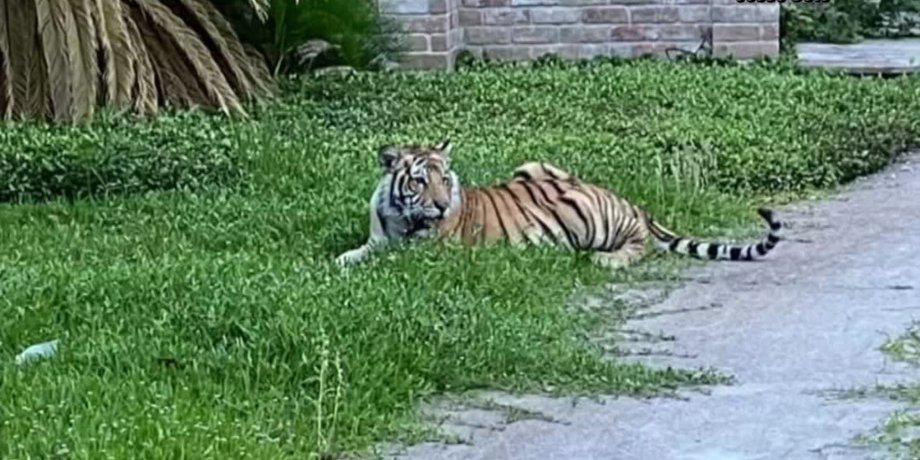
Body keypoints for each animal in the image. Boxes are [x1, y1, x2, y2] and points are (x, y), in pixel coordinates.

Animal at [334, 140, 783, 268]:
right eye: (420, 181)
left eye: (445, 180)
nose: (442, 206)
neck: (399, 216)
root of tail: (632, 202)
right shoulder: (377, 239)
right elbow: (354, 254)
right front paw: (337, 262)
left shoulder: (428, 252)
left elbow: (389, 260)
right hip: (532, 166)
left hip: (594, 218)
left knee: (641, 246)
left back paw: (606, 260)